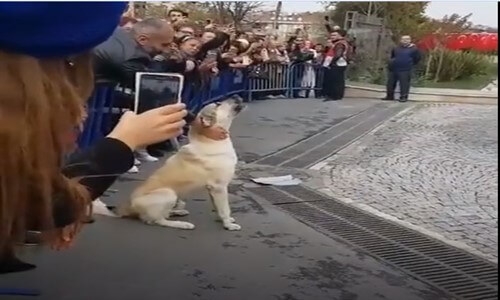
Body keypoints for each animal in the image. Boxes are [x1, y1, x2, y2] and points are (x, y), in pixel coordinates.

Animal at [115, 95, 244, 230]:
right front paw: (228, 225)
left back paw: (178, 212)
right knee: (159, 220)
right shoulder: (219, 187)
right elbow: (225, 209)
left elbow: (218, 207)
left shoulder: (213, 190)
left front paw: (224, 220)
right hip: (168, 193)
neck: (209, 140)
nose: (236, 95)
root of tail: (129, 207)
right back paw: (182, 224)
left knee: (165, 214)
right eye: (218, 104)